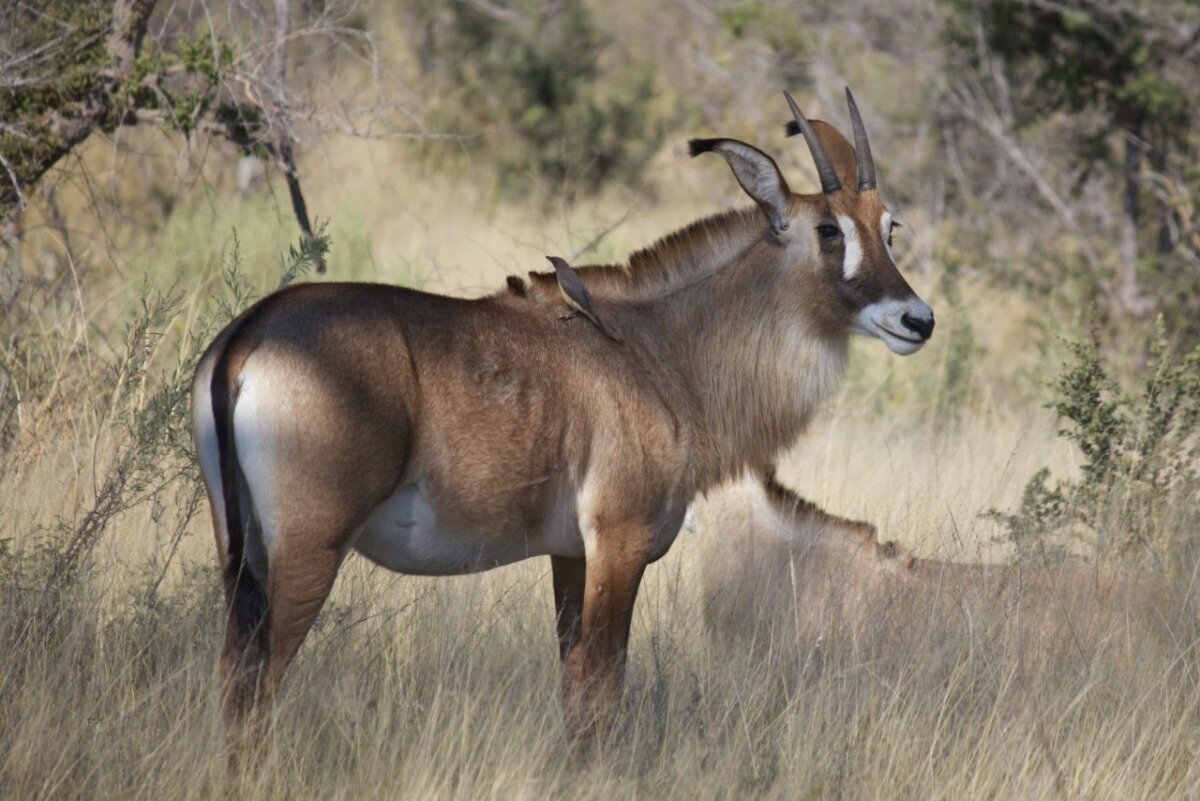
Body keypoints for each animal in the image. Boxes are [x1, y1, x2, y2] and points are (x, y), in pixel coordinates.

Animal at [189, 87, 936, 757]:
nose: (917, 320)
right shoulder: (620, 542)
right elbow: (600, 688)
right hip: (309, 549)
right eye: (829, 229)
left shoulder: (571, 554)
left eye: (889, 226)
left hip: (244, 555)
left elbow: (575, 688)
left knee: (232, 677)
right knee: (257, 684)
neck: (662, 347)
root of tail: (248, 336)